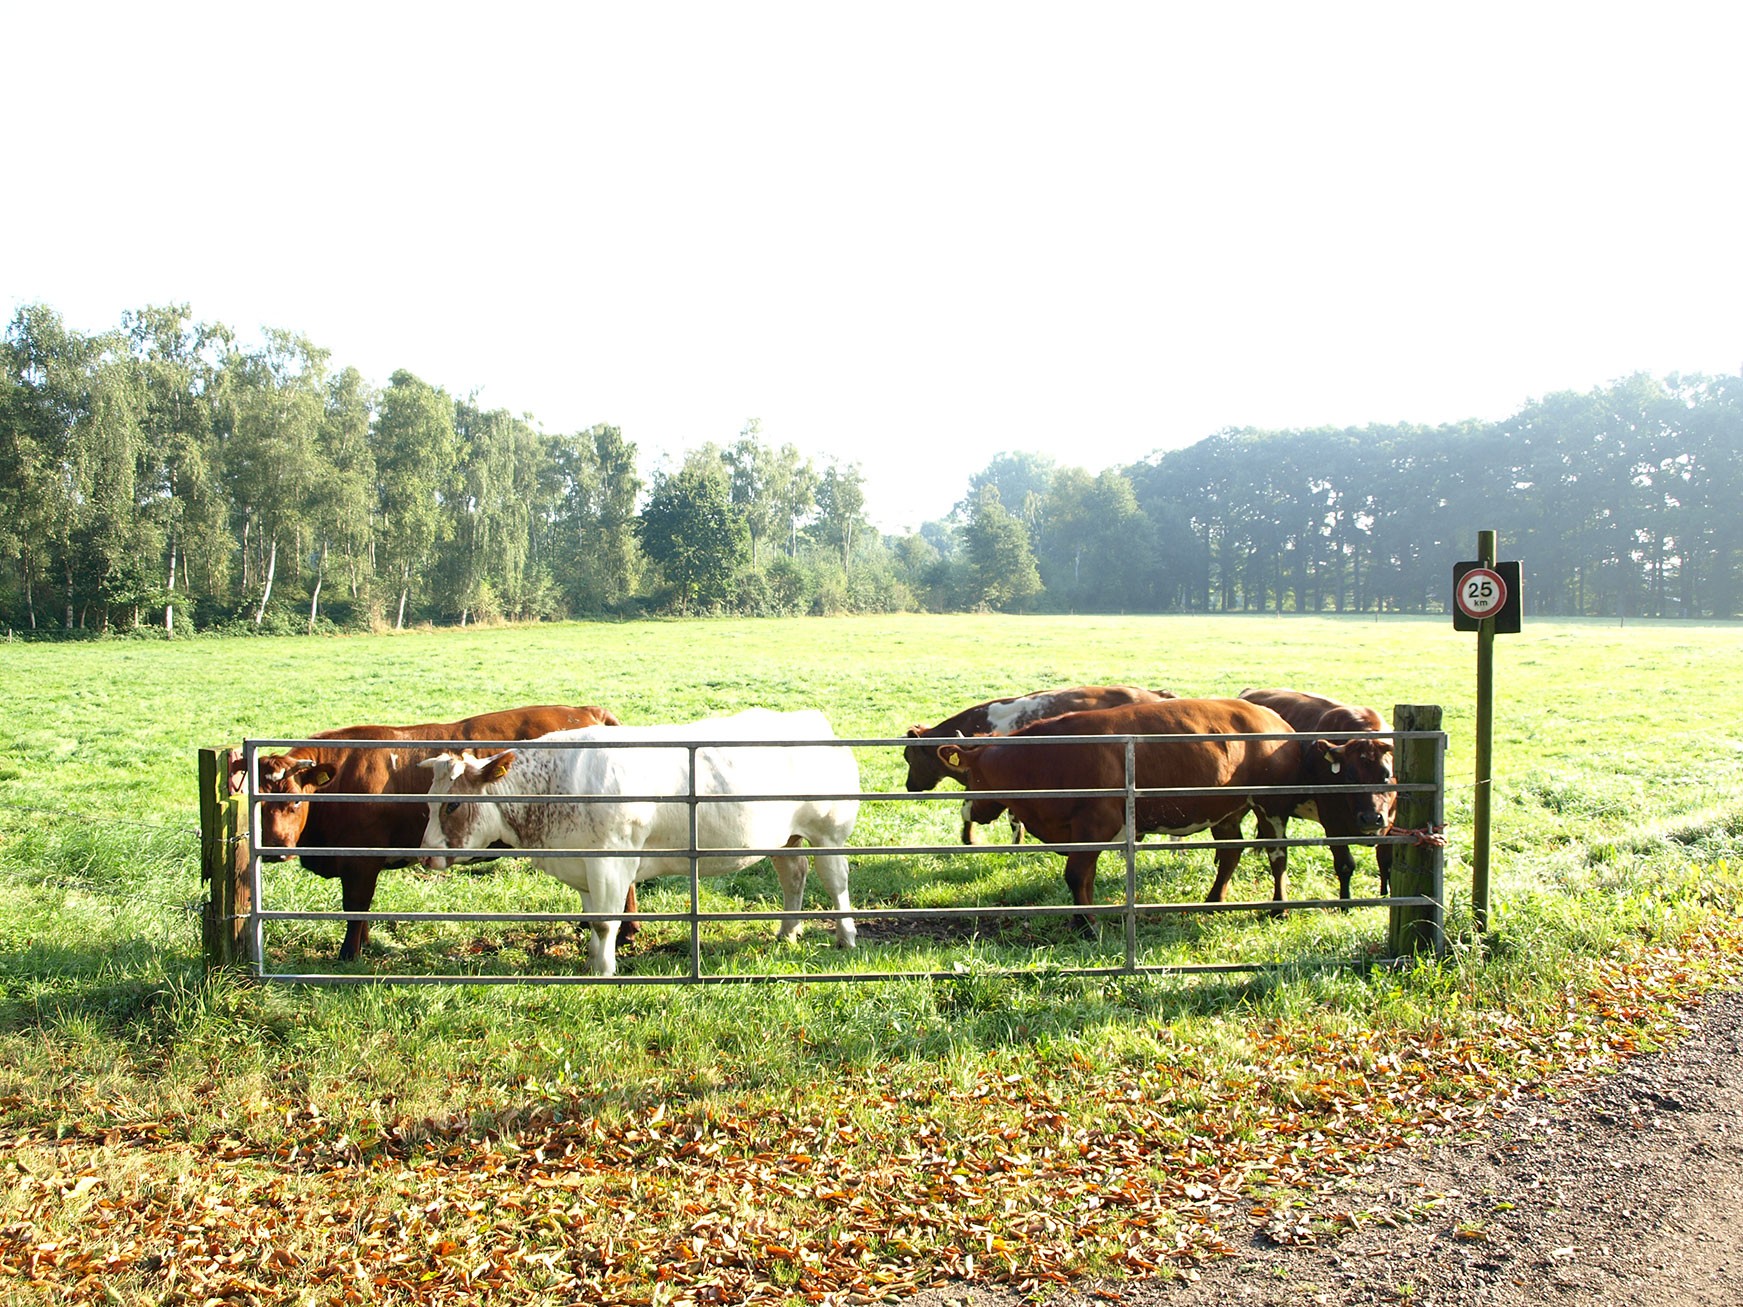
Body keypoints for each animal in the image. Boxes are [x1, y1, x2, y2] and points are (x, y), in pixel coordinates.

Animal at [230, 707, 627, 961]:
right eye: (257, 800)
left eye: (295, 800)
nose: (275, 849)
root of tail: (585, 710)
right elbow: (361, 911)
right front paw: (364, 944)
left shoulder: (360, 861)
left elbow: (355, 907)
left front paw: (349, 954)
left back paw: (624, 935)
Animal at [421, 711, 857, 975]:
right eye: (427, 800)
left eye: (453, 803)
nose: (426, 855)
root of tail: (809, 719)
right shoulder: (582, 864)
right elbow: (592, 918)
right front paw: (593, 960)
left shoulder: (611, 861)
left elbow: (605, 921)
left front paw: (604, 969)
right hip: (785, 838)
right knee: (794, 874)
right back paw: (787, 931)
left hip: (828, 832)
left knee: (836, 883)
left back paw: (846, 936)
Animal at [941, 697, 1296, 920]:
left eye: (970, 775)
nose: (968, 813)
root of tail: (1273, 717)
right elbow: (1086, 877)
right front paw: (1088, 917)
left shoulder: (1095, 824)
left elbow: (1076, 875)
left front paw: (1085, 924)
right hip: (1226, 810)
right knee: (1230, 853)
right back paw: (1213, 900)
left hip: (1272, 805)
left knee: (1277, 856)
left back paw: (1278, 908)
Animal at [1234, 690, 1394, 906]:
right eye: (1350, 777)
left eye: (1386, 775)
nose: (1370, 819)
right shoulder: (1332, 824)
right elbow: (1345, 865)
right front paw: (1345, 904)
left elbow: (1386, 861)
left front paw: (1386, 894)